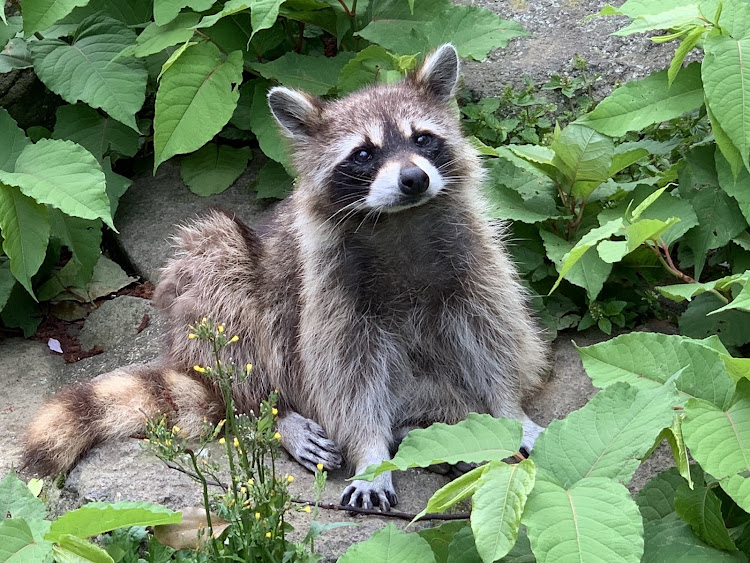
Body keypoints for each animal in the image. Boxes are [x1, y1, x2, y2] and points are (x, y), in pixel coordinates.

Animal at [23, 44, 548, 512]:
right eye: (363, 154)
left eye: (422, 139)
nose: (414, 179)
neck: (399, 222)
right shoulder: (331, 288)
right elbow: (344, 373)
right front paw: (371, 453)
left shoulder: (473, 262)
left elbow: (493, 336)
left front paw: (508, 412)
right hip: (219, 269)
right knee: (227, 302)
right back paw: (272, 413)